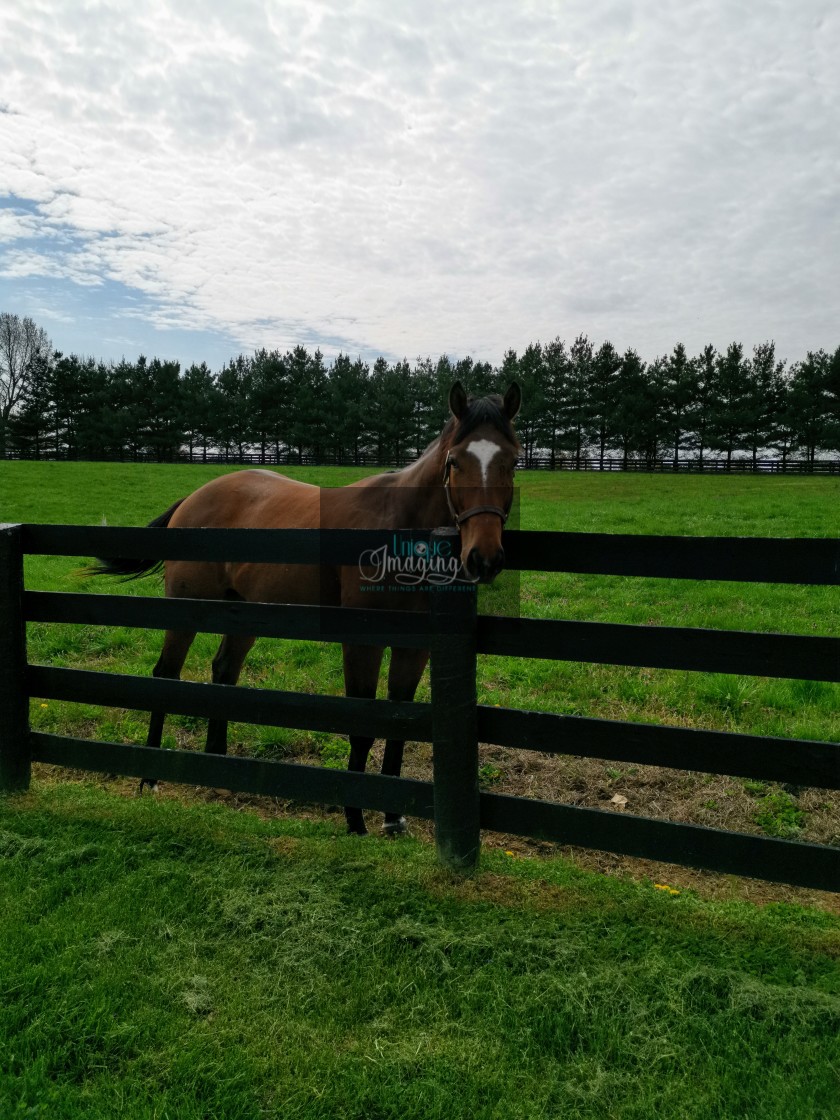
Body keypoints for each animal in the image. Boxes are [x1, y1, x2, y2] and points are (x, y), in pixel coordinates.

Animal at [95, 383, 524, 833]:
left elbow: (399, 725)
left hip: (244, 612)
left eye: (513, 462)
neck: (397, 522)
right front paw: (355, 820)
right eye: (455, 462)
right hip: (185, 611)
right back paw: (149, 777)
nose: (484, 558)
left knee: (224, 673)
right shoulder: (363, 643)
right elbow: (363, 727)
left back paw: (221, 770)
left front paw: (393, 818)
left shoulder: (414, 647)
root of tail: (193, 499)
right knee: (166, 676)